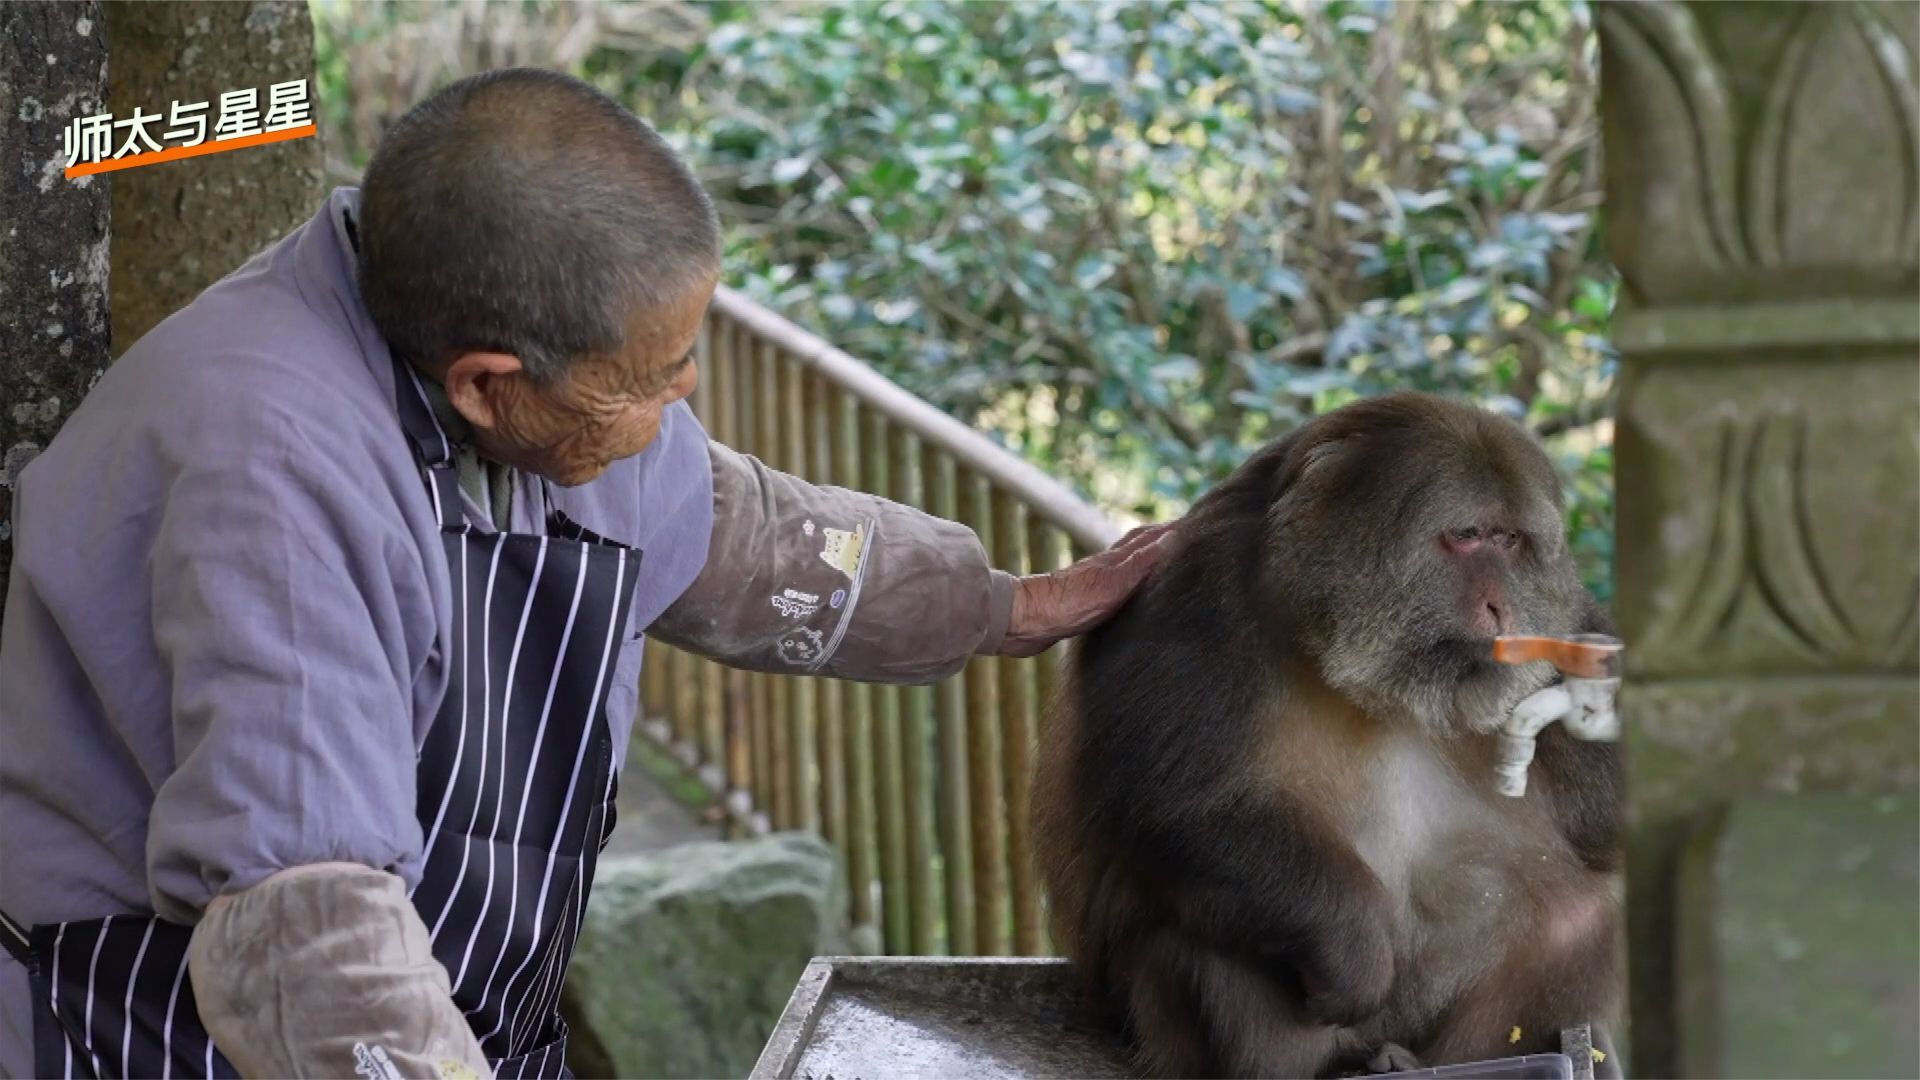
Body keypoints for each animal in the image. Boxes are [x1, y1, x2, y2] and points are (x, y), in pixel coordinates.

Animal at [1036, 390, 1620, 1068]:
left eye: (1509, 540)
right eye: (1466, 537)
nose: (1502, 608)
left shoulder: (1559, 623)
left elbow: (1602, 827)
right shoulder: (1198, 598)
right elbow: (1176, 808)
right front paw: (1352, 952)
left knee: (1578, 919)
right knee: (1205, 926)